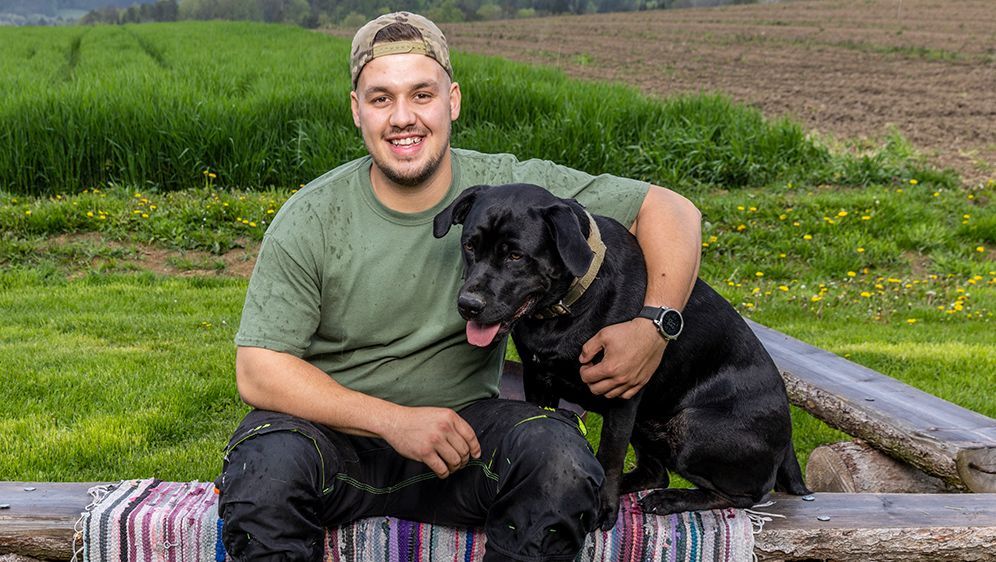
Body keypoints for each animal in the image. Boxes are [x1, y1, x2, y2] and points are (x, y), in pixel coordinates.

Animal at [434, 183, 808, 524]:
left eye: (515, 255)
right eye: (469, 246)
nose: (468, 305)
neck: (567, 305)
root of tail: (789, 441)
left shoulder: (624, 391)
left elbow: (611, 452)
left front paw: (605, 507)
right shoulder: (538, 380)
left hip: (691, 428)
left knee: (747, 494)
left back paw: (672, 499)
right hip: (648, 423)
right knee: (657, 471)